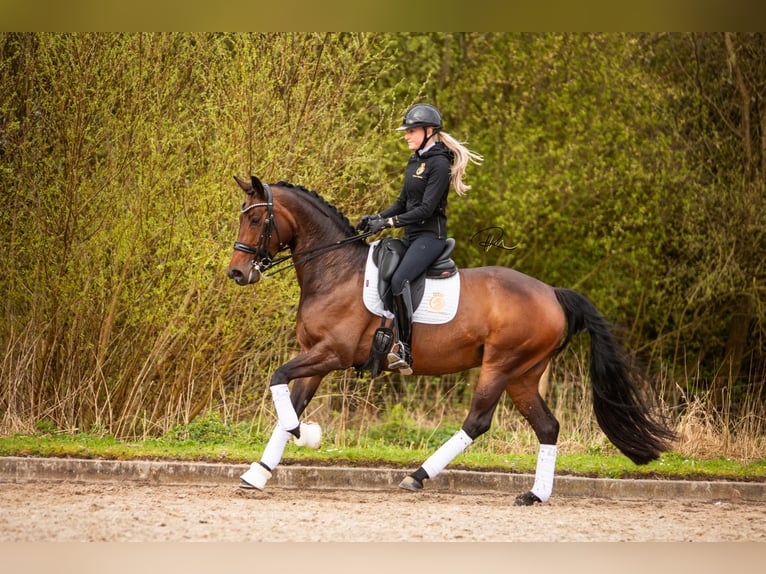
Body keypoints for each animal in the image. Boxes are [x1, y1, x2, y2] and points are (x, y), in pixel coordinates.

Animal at [225, 174, 676, 504]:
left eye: (255, 220)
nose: (237, 273)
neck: (334, 270)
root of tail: (552, 293)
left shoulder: (331, 354)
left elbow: (279, 384)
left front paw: (307, 435)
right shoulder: (315, 355)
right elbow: (290, 401)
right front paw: (258, 473)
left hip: (500, 365)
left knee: (477, 421)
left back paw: (417, 475)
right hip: (524, 375)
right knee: (547, 426)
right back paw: (534, 495)